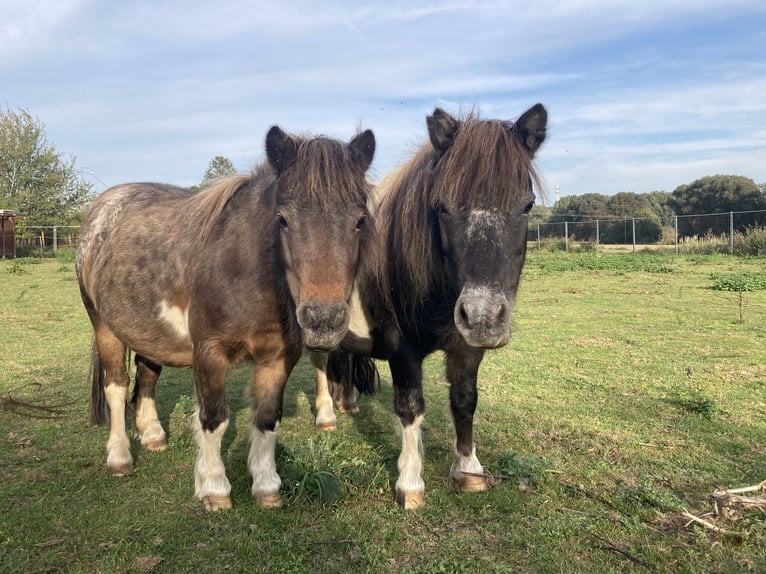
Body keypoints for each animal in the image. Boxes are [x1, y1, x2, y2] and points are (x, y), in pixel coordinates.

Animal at [76, 124, 376, 510]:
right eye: (282, 219)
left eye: (360, 220)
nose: (323, 320)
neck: (242, 272)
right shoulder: (209, 354)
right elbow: (213, 419)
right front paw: (215, 488)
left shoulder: (278, 357)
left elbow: (266, 418)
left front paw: (266, 486)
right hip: (105, 327)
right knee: (116, 386)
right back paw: (119, 457)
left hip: (148, 332)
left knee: (146, 377)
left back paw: (153, 434)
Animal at [320, 102, 548, 508]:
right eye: (441, 208)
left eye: (526, 206)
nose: (483, 316)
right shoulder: (402, 348)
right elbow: (410, 408)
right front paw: (410, 484)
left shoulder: (467, 346)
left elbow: (465, 399)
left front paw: (469, 470)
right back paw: (326, 416)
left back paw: (346, 404)